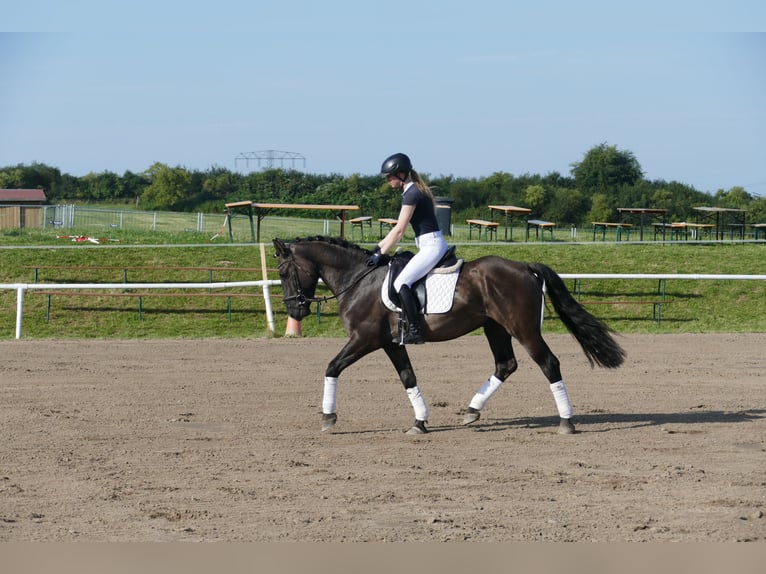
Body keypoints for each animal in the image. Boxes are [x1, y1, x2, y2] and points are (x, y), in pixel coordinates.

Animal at [273, 236, 625, 435]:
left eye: (283, 271)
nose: (295, 312)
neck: (358, 279)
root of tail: (526, 267)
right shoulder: (390, 343)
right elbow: (408, 377)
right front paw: (420, 422)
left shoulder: (364, 340)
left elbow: (332, 367)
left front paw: (328, 417)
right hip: (495, 327)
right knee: (505, 365)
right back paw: (472, 411)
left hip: (523, 329)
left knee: (549, 363)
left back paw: (567, 422)